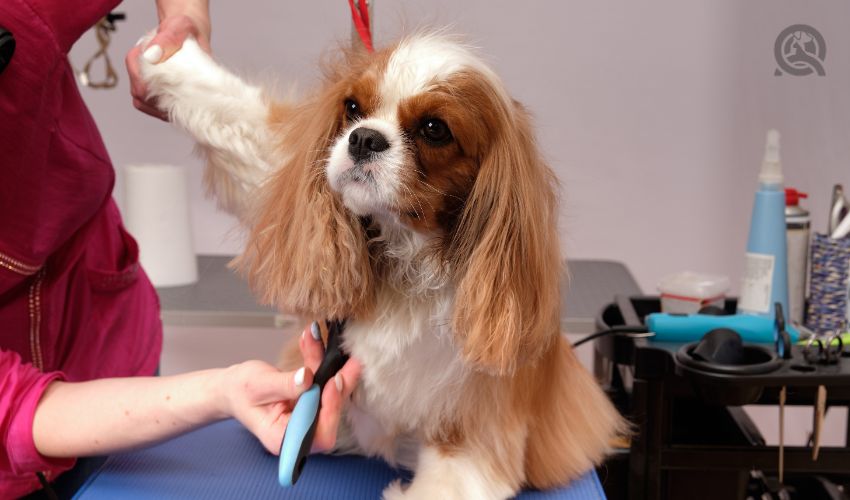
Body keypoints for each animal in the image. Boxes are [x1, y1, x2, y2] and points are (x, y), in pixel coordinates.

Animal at [141, 32, 624, 500]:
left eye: (434, 129)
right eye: (353, 108)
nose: (363, 138)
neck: (408, 256)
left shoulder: (474, 423)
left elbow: (455, 475)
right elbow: (245, 126)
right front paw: (171, 59)